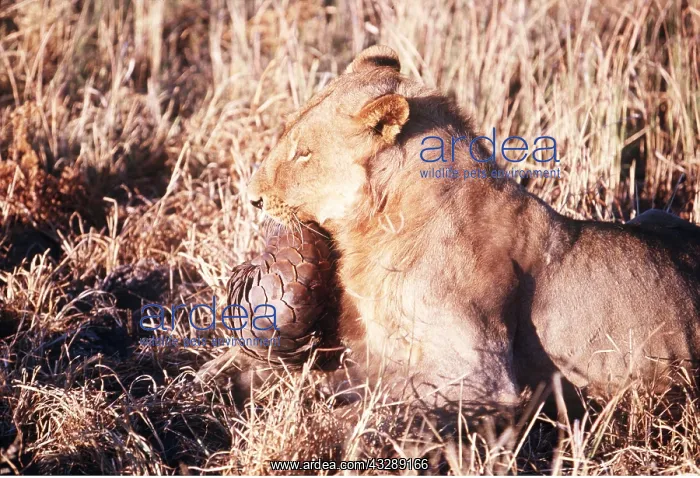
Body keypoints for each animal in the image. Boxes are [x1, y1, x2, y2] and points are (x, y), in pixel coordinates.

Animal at [246, 45, 700, 410]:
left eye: (303, 154)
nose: (251, 197)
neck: (378, 227)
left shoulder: (478, 376)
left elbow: (378, 397)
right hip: (653, 213)